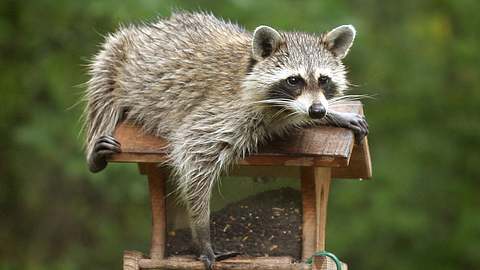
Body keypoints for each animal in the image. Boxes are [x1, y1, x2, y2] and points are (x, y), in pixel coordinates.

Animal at [83, 11, 368, 268]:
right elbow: (194, 153)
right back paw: (95, 152)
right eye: (293, 80)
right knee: (102, 94)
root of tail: (148, 29)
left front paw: (331, 114)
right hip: (115, 57)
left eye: (323, 79)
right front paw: (201, 232)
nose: (317, 111)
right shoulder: (222, 112)